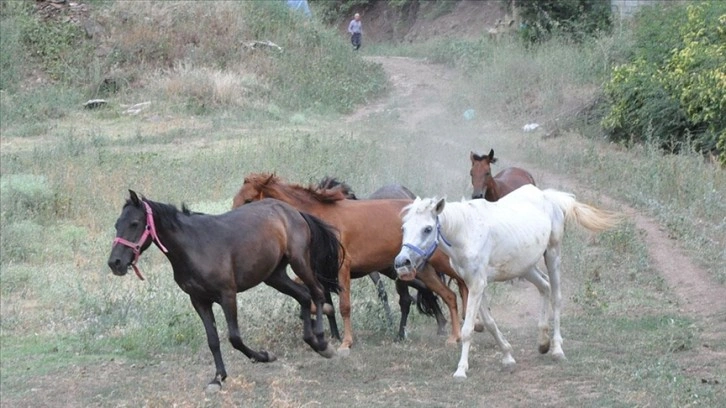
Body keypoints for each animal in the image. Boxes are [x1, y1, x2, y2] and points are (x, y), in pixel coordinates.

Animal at [109, 190, 344, 388]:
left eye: (134, 223)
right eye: (117, 224)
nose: (115, 263)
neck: (195, 246)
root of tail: (294, 211)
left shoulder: (227, 295)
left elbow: (234, 338)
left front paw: (264, 356)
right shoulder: (199, 300)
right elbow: (213, 340)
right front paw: (218, 378)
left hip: (300, 263)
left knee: (317, 293)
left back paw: (323, 343)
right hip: (275, 276)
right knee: (304, 296)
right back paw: (312, 341)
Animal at [236, 173, 470, 354]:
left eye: (248, 200)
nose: (238, 222)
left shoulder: (342, 269)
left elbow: (344, 306)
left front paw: (346, 342)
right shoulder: (320, 273)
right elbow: (318, 299)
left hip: (438, 263)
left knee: (460, 285)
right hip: (421, 270)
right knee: (448, 295)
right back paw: (454, 335)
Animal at [396, 185, 624, 380]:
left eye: (427, 229)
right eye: (404, 228)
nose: (402, 262)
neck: (467, 232)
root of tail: (547, 195)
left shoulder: (477, 285)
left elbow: (468, 329)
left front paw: (461, 370)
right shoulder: (474, 283)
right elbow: (489, 323)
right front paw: (507, 355)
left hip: (553, 254)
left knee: (557, 296)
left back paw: (557, 349)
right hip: (526, 266)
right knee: (545, 287)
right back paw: (543, 342)